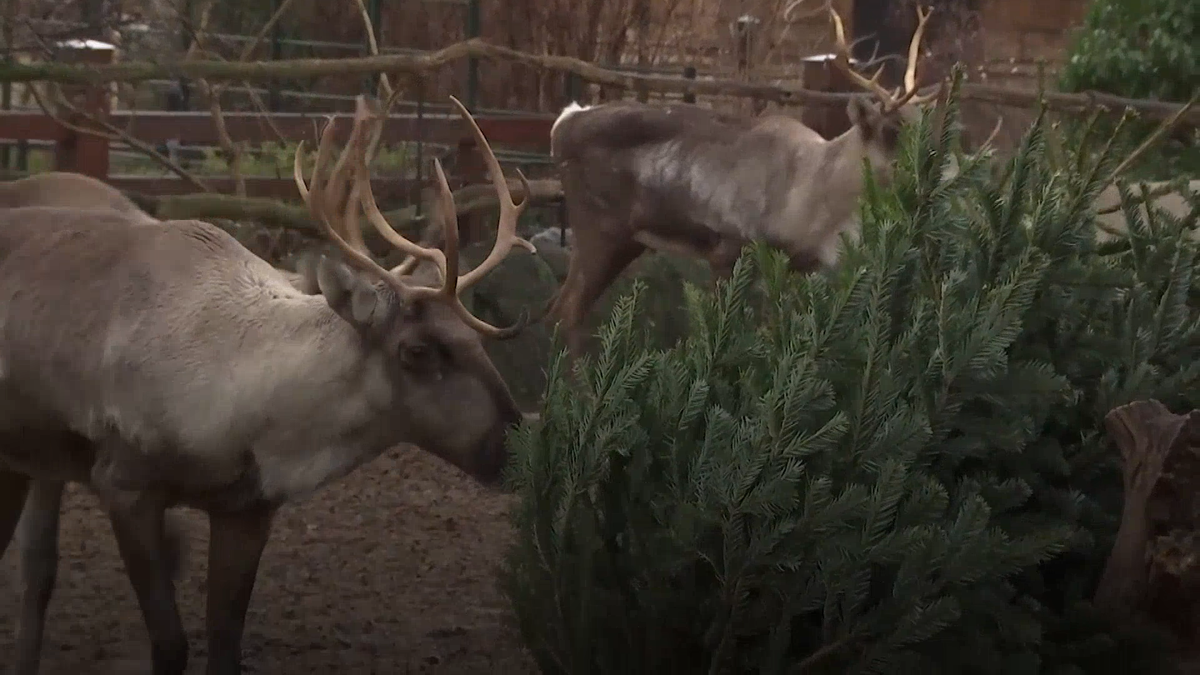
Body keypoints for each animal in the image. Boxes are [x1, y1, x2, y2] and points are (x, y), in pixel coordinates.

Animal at [0, 92, 534, 675]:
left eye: (477, 339)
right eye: (416, 351)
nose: (514, 446)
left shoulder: (247, 510)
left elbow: (224, 645)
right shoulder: (123, 482)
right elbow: (170, 643)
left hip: (28, 461)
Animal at [539, 4, 938, 356]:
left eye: (924, 120)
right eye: (892, 129)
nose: (938, 164)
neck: (811, 200)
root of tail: (562, 124)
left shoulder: (798, 266)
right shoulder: (728, 247)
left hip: (625, 240)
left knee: (560, 308)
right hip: (598, 228)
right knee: (564, 312)